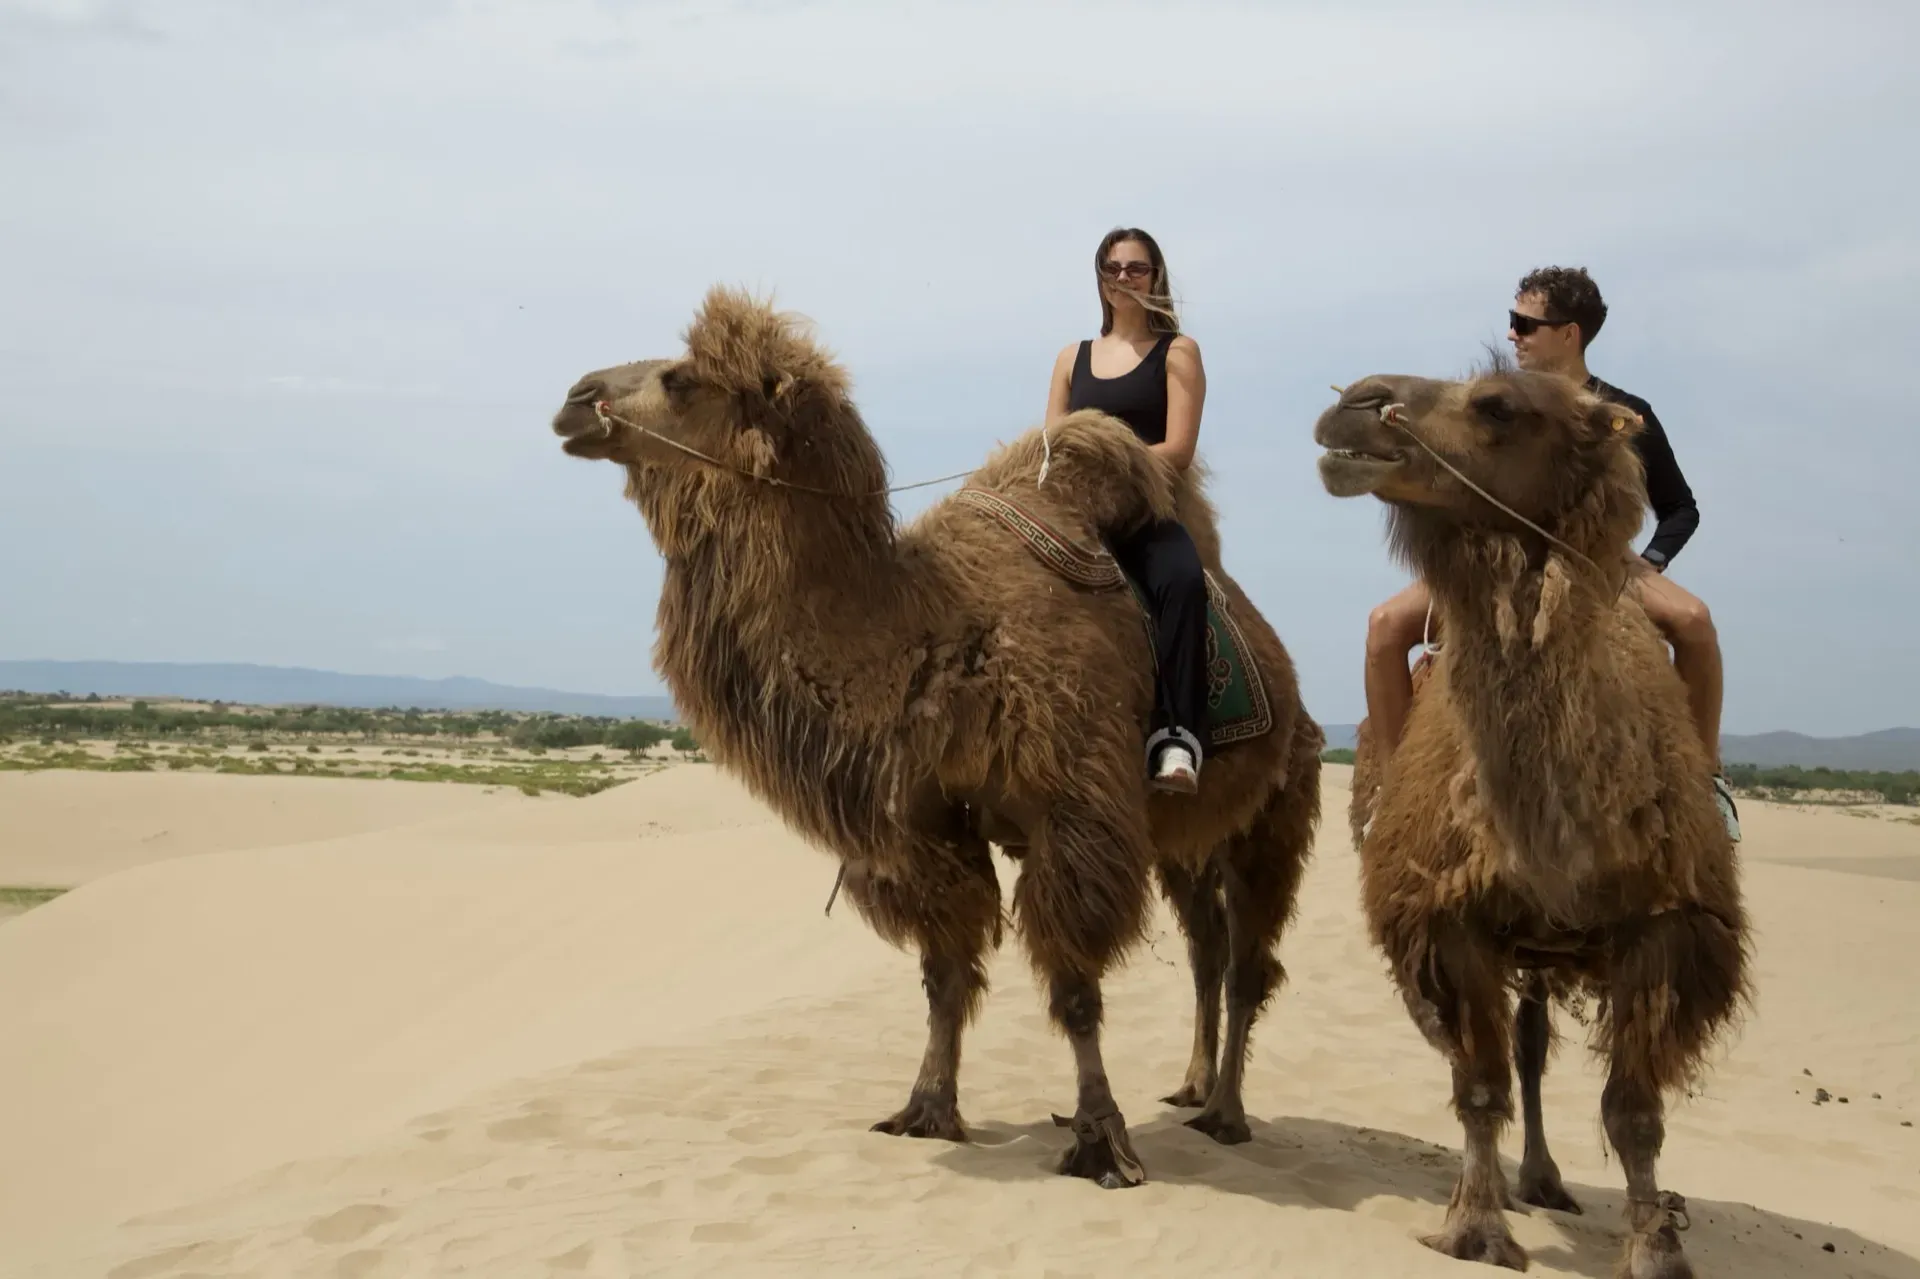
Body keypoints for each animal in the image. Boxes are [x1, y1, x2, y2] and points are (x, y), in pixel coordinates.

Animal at [549, 287, 1323, 1187]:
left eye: (680, 379)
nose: (575, 398)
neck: (932, 631)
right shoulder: (928, 826)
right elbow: (945, 972)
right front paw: (925, 1110)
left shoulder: (1077, 814)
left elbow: (1074, 986)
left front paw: (1100, 1140)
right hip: (1180, 838)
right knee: (1205, 946)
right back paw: (1192, 1085)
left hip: (1277, 805)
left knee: (1246, 962)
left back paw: (1227, 1112)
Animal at [1313, 364, 1749, 1277]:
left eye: (1499, 406)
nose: (1355, 403)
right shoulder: (1452, 915)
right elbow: (1480, 1083)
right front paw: (1474, 1228)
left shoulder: (1666, 924)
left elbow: (1634, 1110)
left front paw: (1656, 1248)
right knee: (1515, 1046)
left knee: (1537, 1040)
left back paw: (1544, 1178)